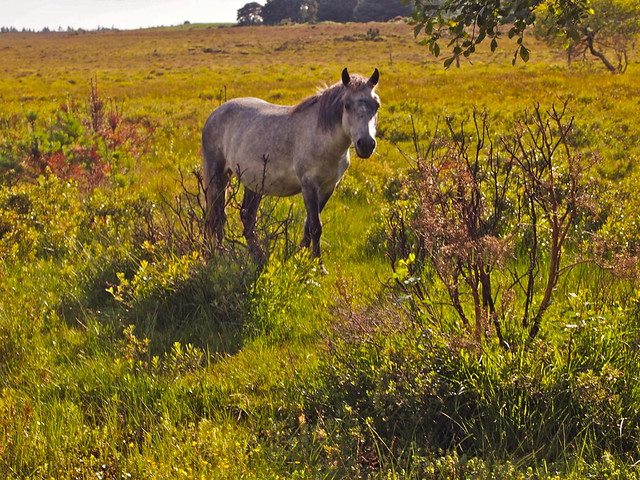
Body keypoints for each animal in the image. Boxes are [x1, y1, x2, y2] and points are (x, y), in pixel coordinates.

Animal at [201, 68, 380, 266]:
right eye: (347, 105)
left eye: (376, 105)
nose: (366, 144)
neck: (323, 140)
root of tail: (215, 113)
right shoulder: (309, 184)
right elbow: (316, 227)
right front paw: (318, 265)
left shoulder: (328, 187)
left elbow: (309, 226)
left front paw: (299, 258)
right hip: (217, 174)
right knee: (216, 215)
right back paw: (218, 255)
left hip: (254, 183)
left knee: (246, 217)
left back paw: (259, 258)